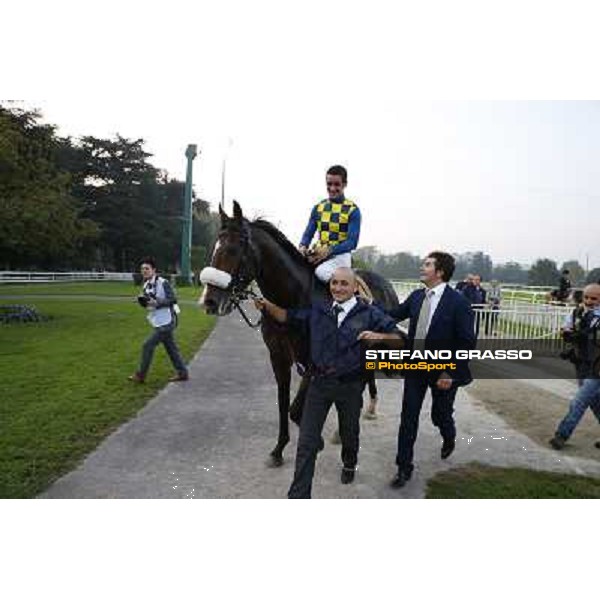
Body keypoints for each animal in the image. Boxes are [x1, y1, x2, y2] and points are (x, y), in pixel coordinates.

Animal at [199, 202, 400, 468]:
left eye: (233, 249)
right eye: (215, 246)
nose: (210, 301)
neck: (294, 301)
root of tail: (386, 285)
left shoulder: (313, 361)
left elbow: (295, 410)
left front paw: (317, 441)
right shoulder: (279, 357)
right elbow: (283, 403)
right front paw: (278, 449)